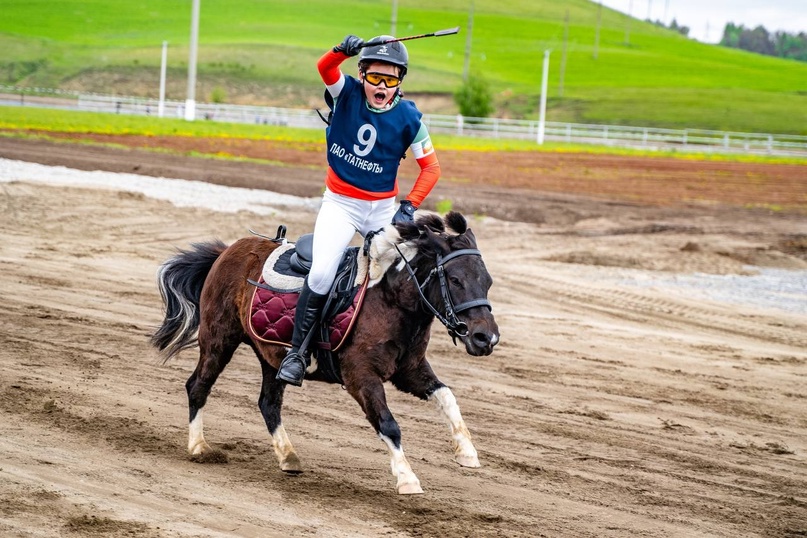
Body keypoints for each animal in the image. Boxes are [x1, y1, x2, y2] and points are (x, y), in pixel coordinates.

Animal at [151, 210, 498, 494]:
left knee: (268, 404)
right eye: (455, 279)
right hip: (218, 340)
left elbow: (446, 397)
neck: (389, 298)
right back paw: (199, 447)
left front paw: (467, 452)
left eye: (488, 281)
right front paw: (407, 478)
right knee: (198, 387)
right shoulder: (360, 377)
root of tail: (227, 251)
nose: (486, 338)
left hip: (272, 357)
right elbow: (388, 424)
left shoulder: (409, 370)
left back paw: (288, 456)